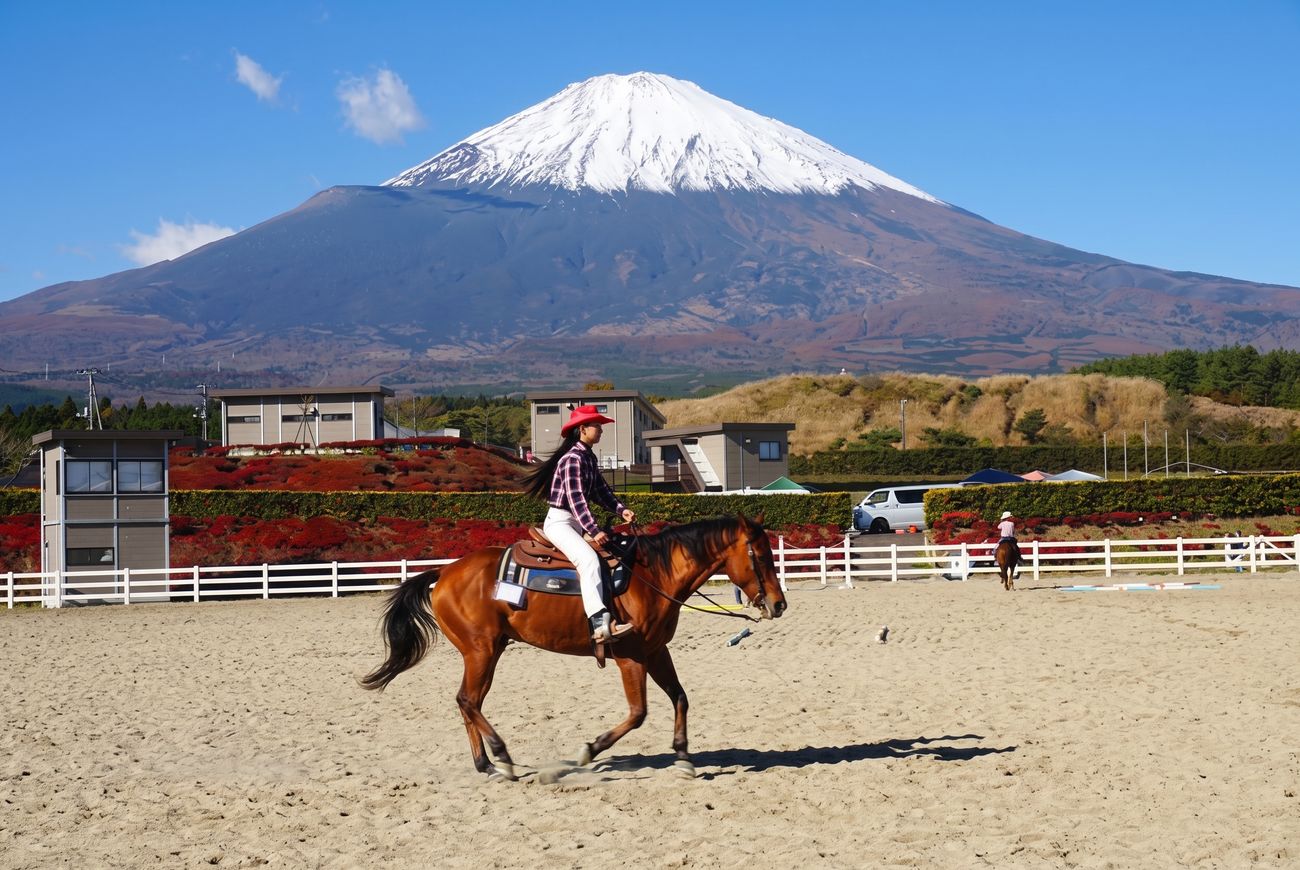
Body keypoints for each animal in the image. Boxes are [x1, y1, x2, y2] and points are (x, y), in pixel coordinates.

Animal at [360, 513, 786, 781]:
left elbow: (680, 698)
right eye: (762, 556)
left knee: (469, 703)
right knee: (467, 701)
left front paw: (683, 757)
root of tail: (445, 571)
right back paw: (503, 758)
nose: (779, 604)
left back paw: (486, 765)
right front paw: (589, 751)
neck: (651, 576)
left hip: (487, 652)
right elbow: (638, 713)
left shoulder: (655, 652)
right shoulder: (630, 657)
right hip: (481, 650)